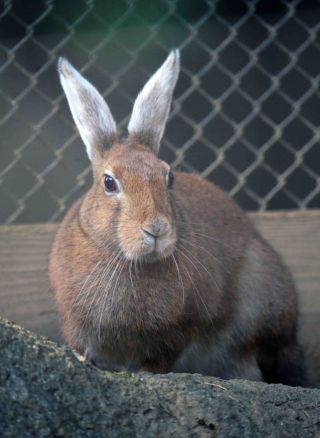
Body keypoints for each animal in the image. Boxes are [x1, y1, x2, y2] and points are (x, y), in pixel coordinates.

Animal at [48, 51, 306, 384]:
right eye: (109, 182)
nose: (156, 229)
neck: (131, 261)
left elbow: (162, 357)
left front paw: (146, 373)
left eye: (168, 177)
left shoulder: (181, 329)